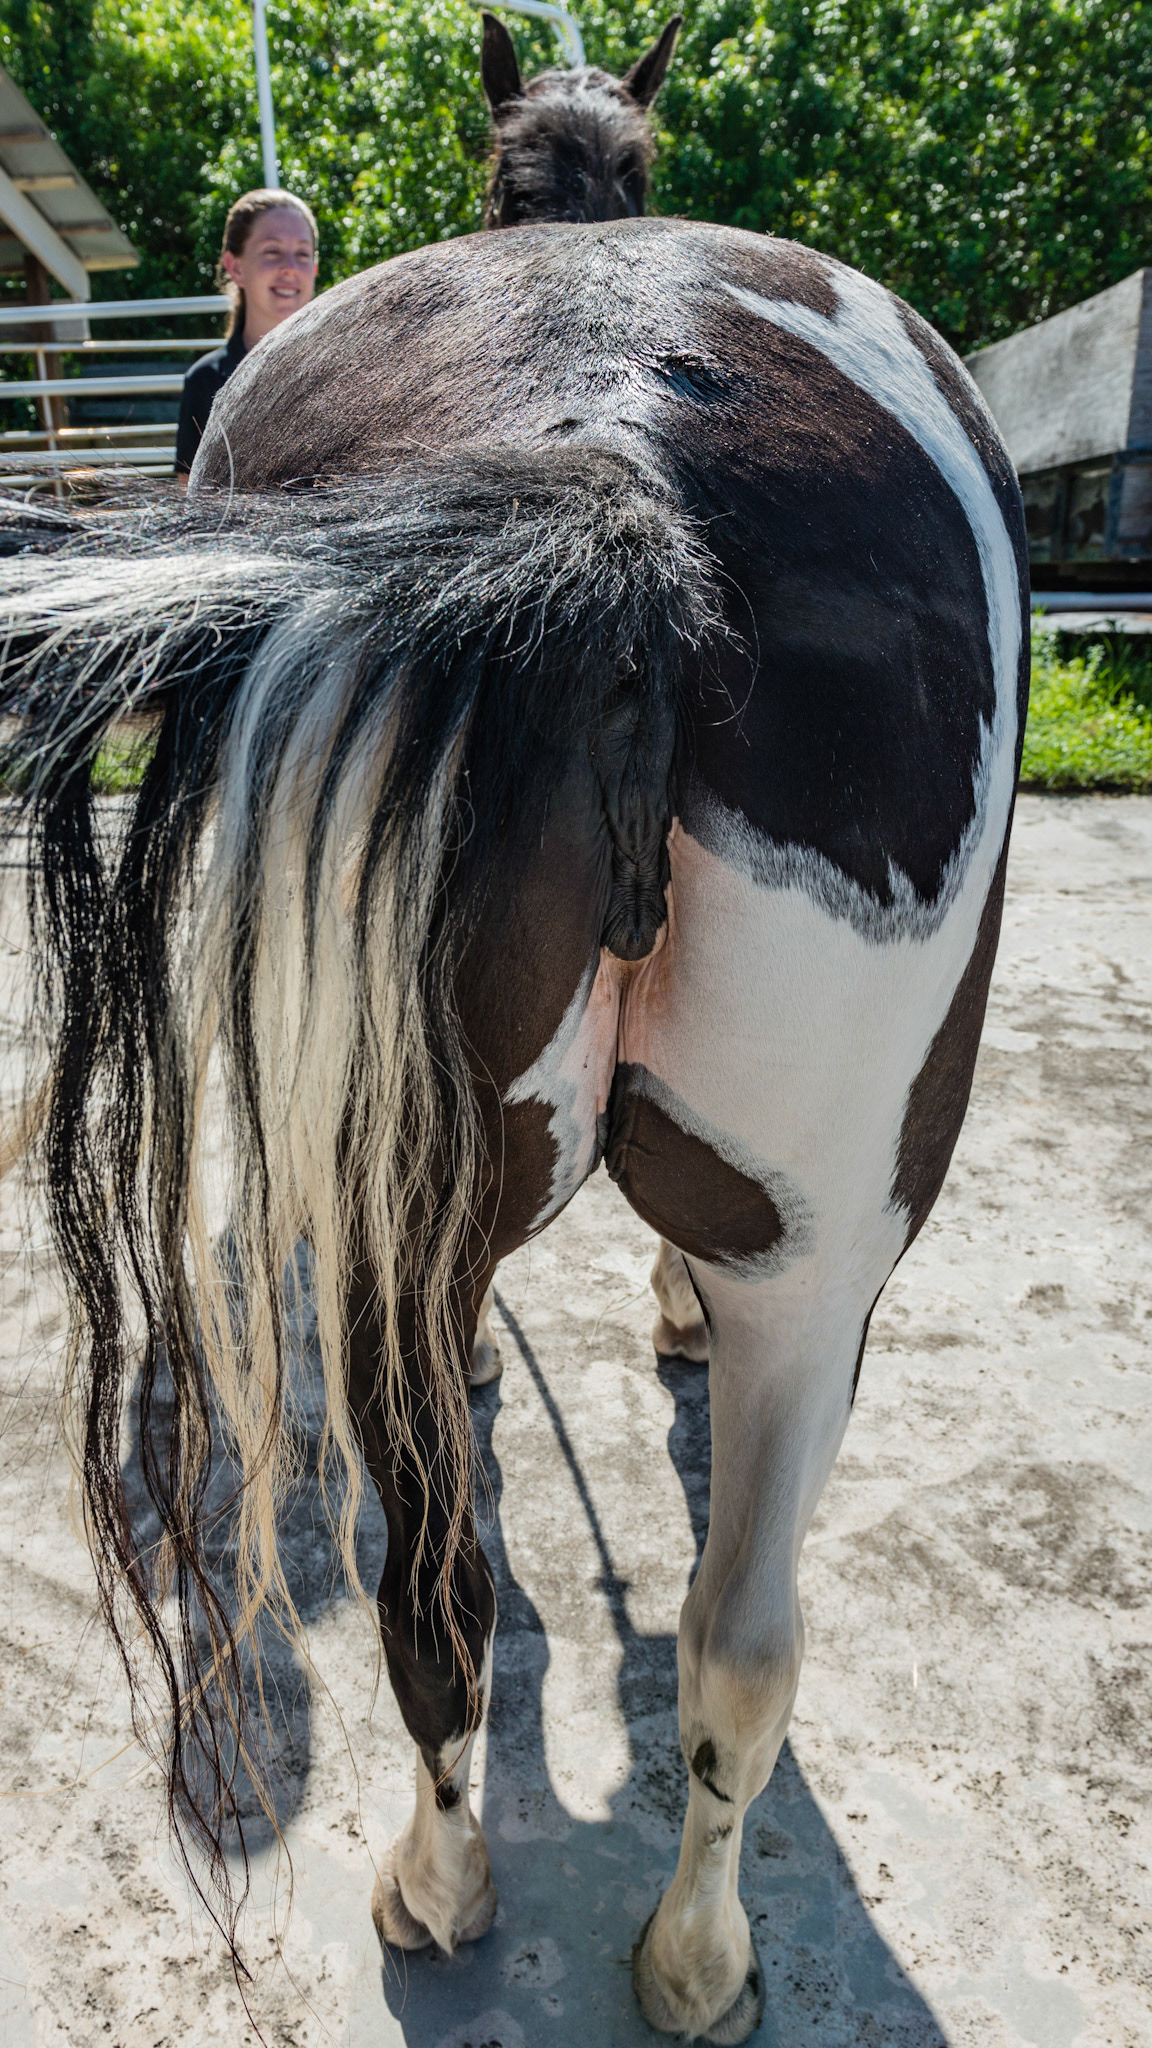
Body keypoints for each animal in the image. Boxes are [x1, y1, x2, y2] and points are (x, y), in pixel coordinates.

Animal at [0, 15, 1027, 2042]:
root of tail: (612, 448)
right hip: (815, 1258)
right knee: (730, 1638)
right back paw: (691, 1955)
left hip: (416, 1210)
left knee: (448, 1595)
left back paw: (452, 1882)